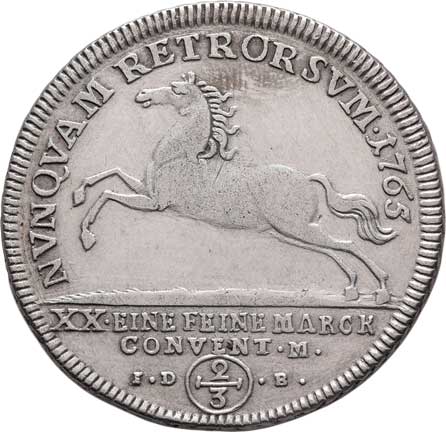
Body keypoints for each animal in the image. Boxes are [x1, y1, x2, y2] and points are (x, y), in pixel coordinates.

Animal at [72, 71, 396, 305]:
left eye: (176, 89)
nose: (142, 94)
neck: (177, 154)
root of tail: (307, 179)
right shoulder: (145, 190)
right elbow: (110, 174)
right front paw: (78, 193)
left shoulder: (155, 203)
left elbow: (108, 194)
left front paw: (87, 236)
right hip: (287, 232)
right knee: (334, 250)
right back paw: (351, 288)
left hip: (296, 228)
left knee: (348, 244)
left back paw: (381, 290)